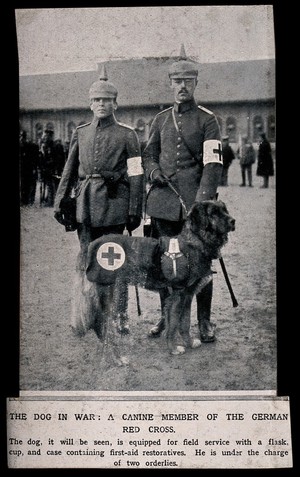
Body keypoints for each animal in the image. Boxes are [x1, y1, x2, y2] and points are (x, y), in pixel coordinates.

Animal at [82, 200, 237, 354]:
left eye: (224, 210)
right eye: (214, 213)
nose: (233, 221)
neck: (195, 242)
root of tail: (93, 244)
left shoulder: (187, 295)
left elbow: (185, 323)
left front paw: (190, 343)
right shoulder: (178, 294)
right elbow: (173, 324)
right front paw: (173, 348)